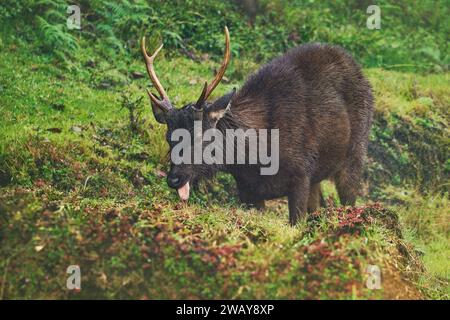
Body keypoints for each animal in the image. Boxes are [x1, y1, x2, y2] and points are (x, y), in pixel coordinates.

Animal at [140, 26, 372, 225]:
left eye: (202, 136)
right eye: (168, 137)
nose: (174, 178)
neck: (254, 160)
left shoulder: (301, 174)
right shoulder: (248, 191)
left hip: (356, 150)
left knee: (349, 196)